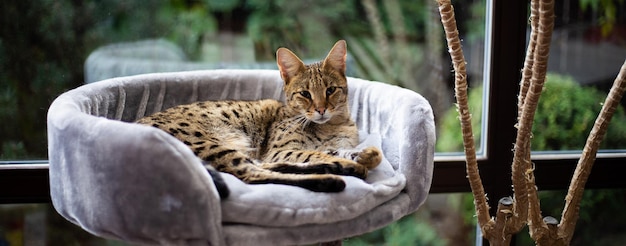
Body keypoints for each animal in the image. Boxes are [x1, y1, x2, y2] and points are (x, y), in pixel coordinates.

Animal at [136, 40, 380, 198]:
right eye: (305, 94)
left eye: (330, 90)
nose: (321, 109)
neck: (332, 125)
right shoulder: (280, 149)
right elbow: (313, 152)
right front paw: (351, 160)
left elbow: (345, 151)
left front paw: (365, 155)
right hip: (211, 144)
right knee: (253, 173)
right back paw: (331, 177)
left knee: (267, 167)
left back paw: (340, 168)